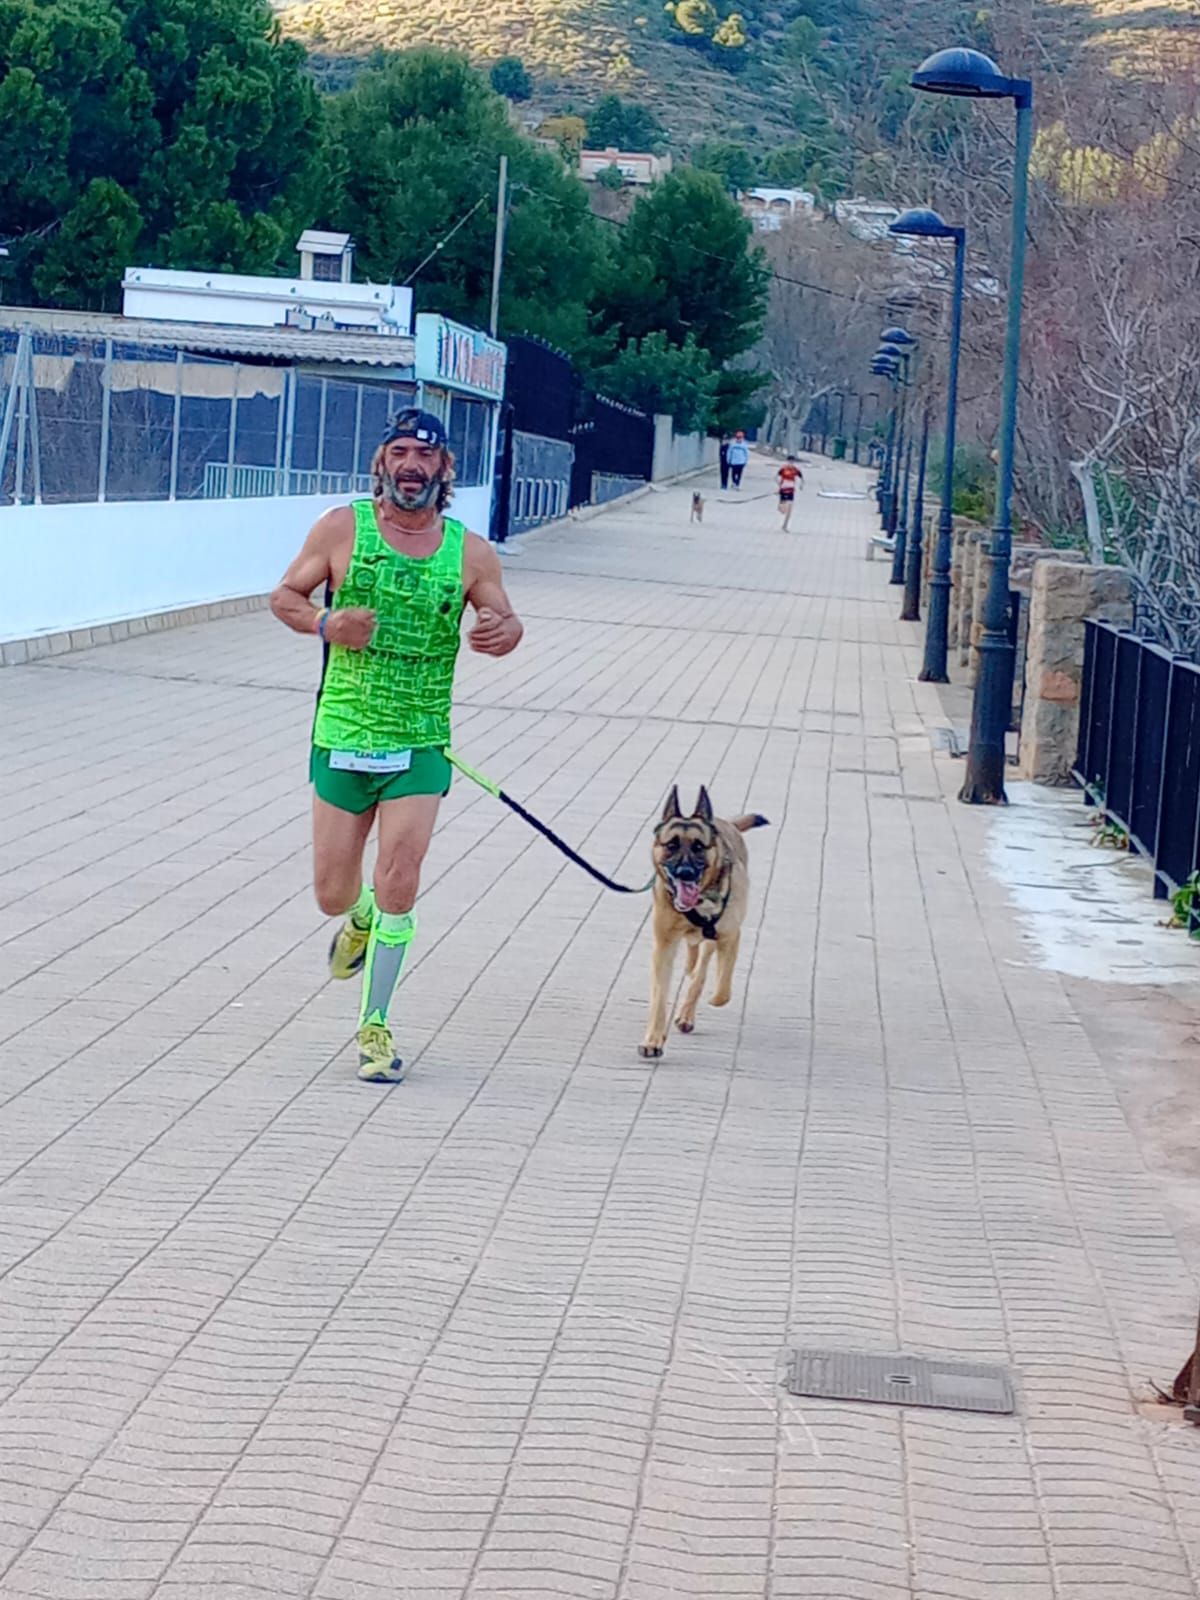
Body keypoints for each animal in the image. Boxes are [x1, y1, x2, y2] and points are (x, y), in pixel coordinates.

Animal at [640, 780, 771, 1056]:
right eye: (671, 845)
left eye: (699, 846)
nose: (685, 872)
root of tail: (726, 822)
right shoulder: (663, 947)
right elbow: (659, 997)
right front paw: (653, 1040)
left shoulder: (729, 936)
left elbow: (721, 988)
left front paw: (711, 998)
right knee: (693, 957)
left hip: (713, 940)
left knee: (701, 972)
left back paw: (687, 1013)